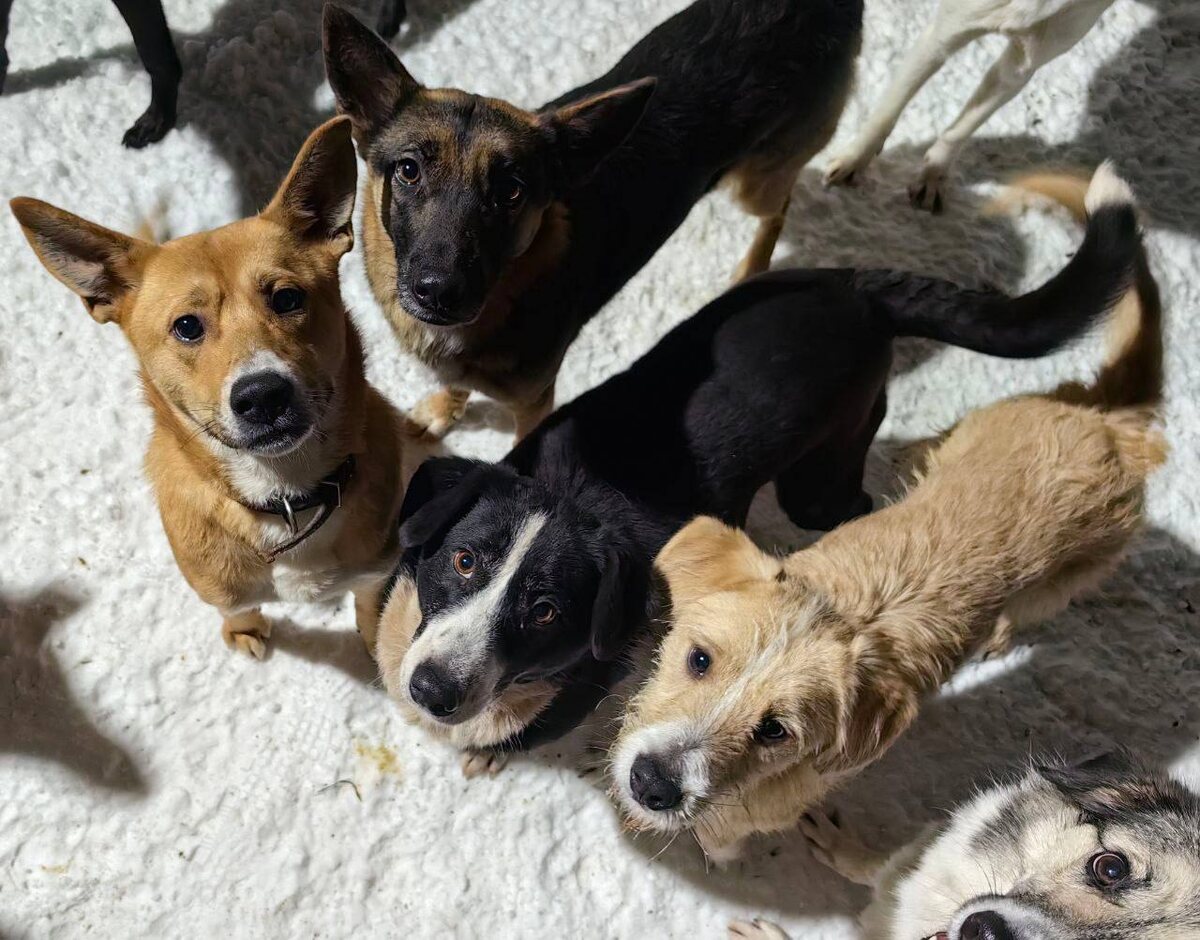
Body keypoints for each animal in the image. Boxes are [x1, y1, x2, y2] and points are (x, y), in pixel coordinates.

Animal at [10, 117, 429, 658]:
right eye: (187, 326)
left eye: (287, 298)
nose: (262, 395)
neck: (283, 496)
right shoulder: (221, 587)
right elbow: (238, 607)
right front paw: (245, 630)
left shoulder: (373, 574)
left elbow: (371, 610)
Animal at [321, 0, 864, 439]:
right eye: (408, 171)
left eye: (511, 192)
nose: (438, 292)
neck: (509, 287)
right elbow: (455, 384)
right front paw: (443, 408)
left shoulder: (535, 404)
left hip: (755, 185)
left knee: (781, 206)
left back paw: (753, 266)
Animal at [373, 164, 1141, 777]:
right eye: (465, 560)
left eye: (545, 610)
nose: (433, 690)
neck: (575, 493)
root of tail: (861, 287)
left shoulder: (591, 671)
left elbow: (536, 722)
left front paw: (490, 750)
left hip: (817, 482)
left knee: (856, 501)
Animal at [609, 164, 1164, 861]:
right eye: (699, 659)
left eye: (776, 731)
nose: (651, 784)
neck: (852, 612)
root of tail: (1114, 425)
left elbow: (730, 833)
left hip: (1063, 576)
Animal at [824, 0, 1114, 212]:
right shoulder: (941, 37)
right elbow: (888, 109)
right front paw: (854, 159)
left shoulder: (1019, 68)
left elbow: (959, 131)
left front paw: (932, 175)